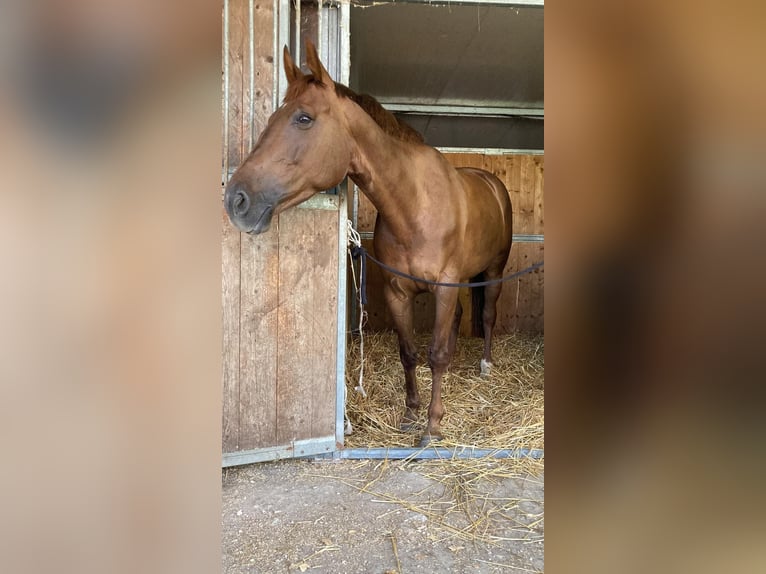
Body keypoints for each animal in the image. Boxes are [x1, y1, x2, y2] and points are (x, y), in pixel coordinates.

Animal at [225, 41, 512, 446]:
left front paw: (432, 425)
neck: (413, 203)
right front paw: (410, 414)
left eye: (303, 118)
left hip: (494, 269)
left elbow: (436, 354)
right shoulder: (398, 291)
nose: (236, 199)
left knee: (487, 314)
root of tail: (493, 182)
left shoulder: (444, 286)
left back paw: (485, 364)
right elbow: (409, 352)